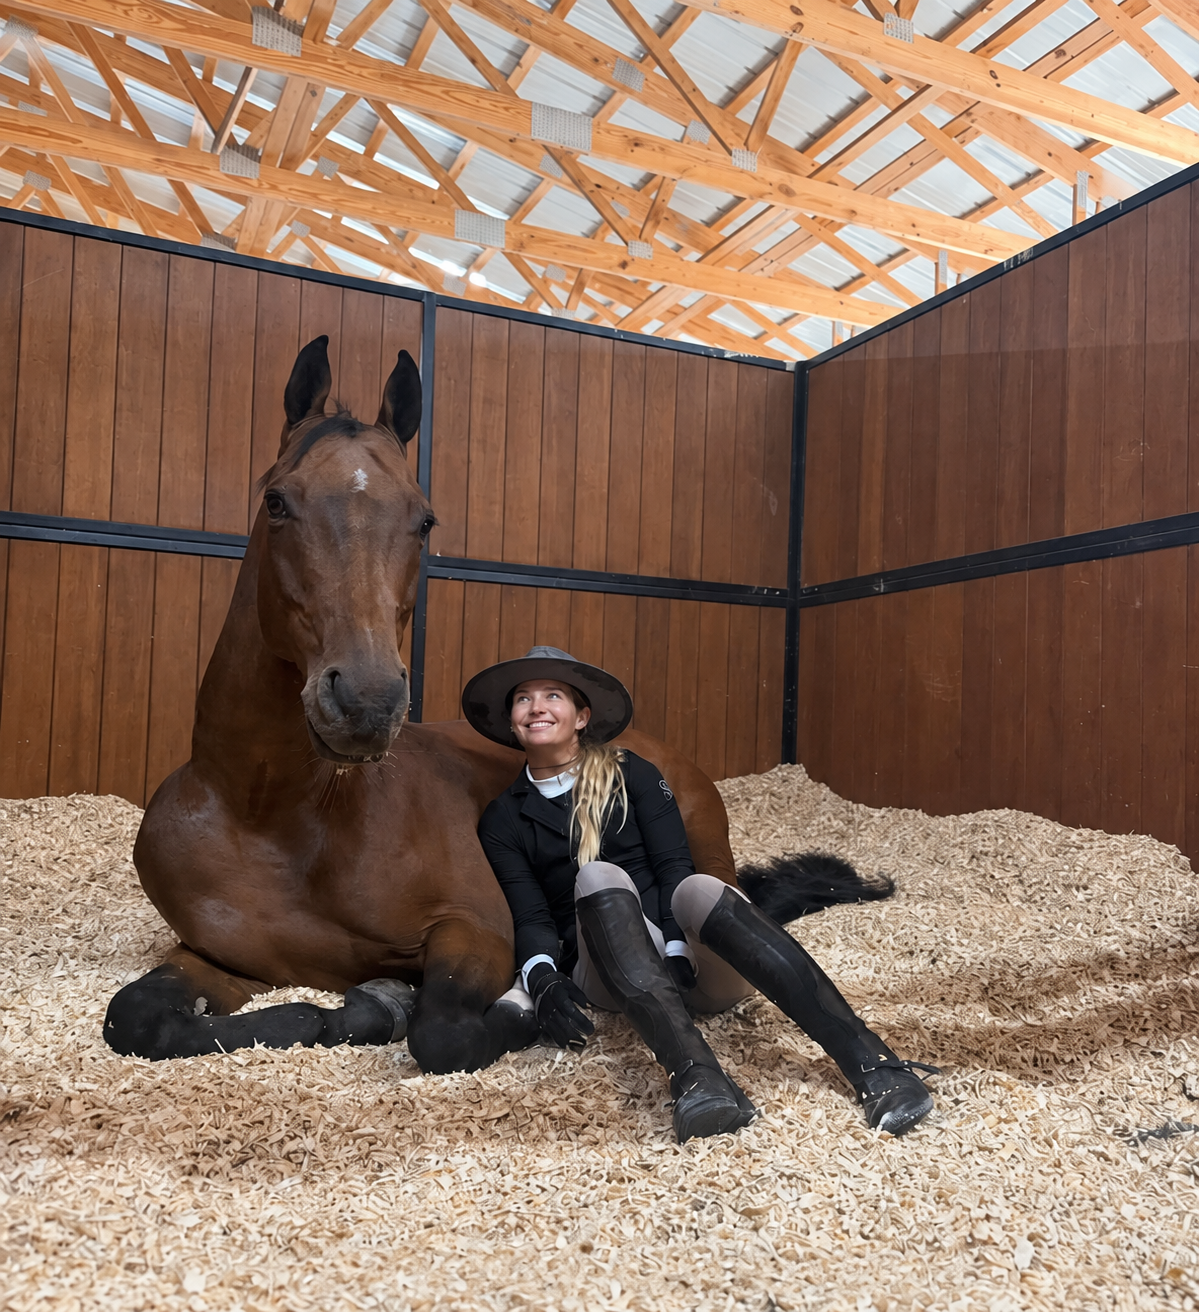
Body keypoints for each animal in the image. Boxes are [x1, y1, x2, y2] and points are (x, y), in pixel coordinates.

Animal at [103, 336, 886, 1076]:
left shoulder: (477, 929)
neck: (273, 817)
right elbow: (135, 1018)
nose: (364, 702)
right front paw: (347, 1008)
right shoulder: (219, 959)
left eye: (423, 520)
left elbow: (443, 1031)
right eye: (276, 502)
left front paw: (434, 1005)